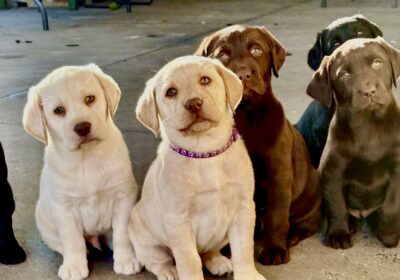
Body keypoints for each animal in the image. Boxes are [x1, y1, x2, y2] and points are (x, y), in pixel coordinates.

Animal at [22, 64, 141, 280]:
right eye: (59, 110)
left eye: (90, 99)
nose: (82, 127)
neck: (87, 159)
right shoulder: (63, 207)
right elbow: (72, 239)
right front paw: (74, 266)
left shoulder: (124, 196)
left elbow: (122, 234)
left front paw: (127, 260)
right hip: (43, 219)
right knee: (63, 244)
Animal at [129, 55, 266, 280]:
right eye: (171, 92)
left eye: (205, 80)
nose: (193, 103)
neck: (204, 152)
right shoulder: (178, 221)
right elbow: (189, 260)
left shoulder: (244, 208)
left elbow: (244, 248)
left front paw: (247, 275)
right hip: (143, 237)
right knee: (158, 260)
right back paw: (168, 271)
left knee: (207, 252)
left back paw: (218, 261)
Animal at [195, 25, 324, 264]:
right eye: (222, 55)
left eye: (257, 50)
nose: (243, 75)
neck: (246, 118)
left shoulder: (278, 176)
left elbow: (277, 216)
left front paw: (274, 250)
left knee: (304, 223)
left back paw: (291, 237)